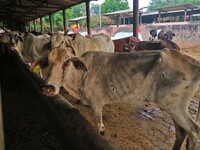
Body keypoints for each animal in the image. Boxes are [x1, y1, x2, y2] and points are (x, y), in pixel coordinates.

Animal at [38, 46, 199, 149]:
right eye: (47, 62)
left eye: (66, 61)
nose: (48, 88)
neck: (81, 76)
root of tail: (194, 63)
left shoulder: (96, 104)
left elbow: (100, 128)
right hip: (173, 108)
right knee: (181, 132)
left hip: (176, 108)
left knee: (193, 131)